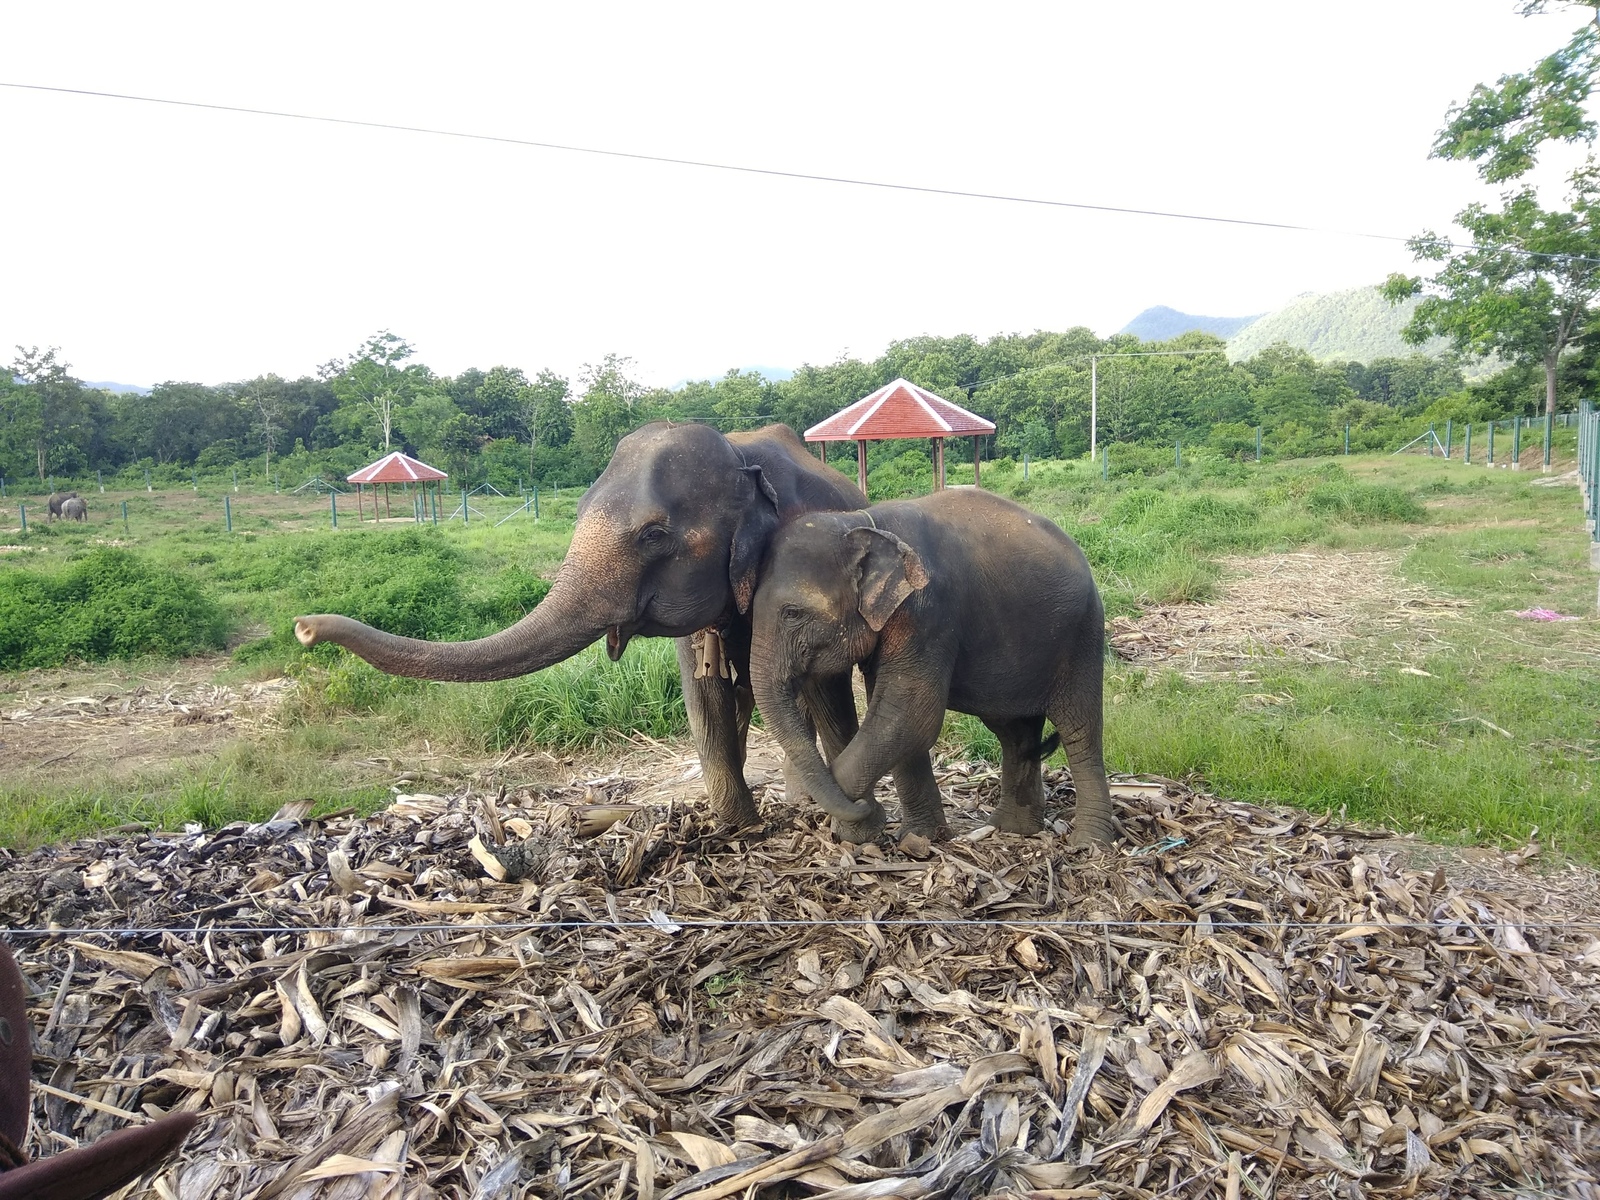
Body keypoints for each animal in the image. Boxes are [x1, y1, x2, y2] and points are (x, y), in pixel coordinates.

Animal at [297, 425, 934, 838]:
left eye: (653, 536)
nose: (304, 627)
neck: (740, 458)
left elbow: (823, 688)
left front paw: (857, 826)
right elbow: (702, 692)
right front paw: (739, 829)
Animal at [745, 486, 1113, 844]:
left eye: (792, 613)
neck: (861, 523)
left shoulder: (927, 611)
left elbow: (909, 714)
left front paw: (860, 825)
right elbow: (896, 717)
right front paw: (919, 838)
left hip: (1082, 635)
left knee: (1079, 731)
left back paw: (1089, 842)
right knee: (1015, 732)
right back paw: (1014, 829)